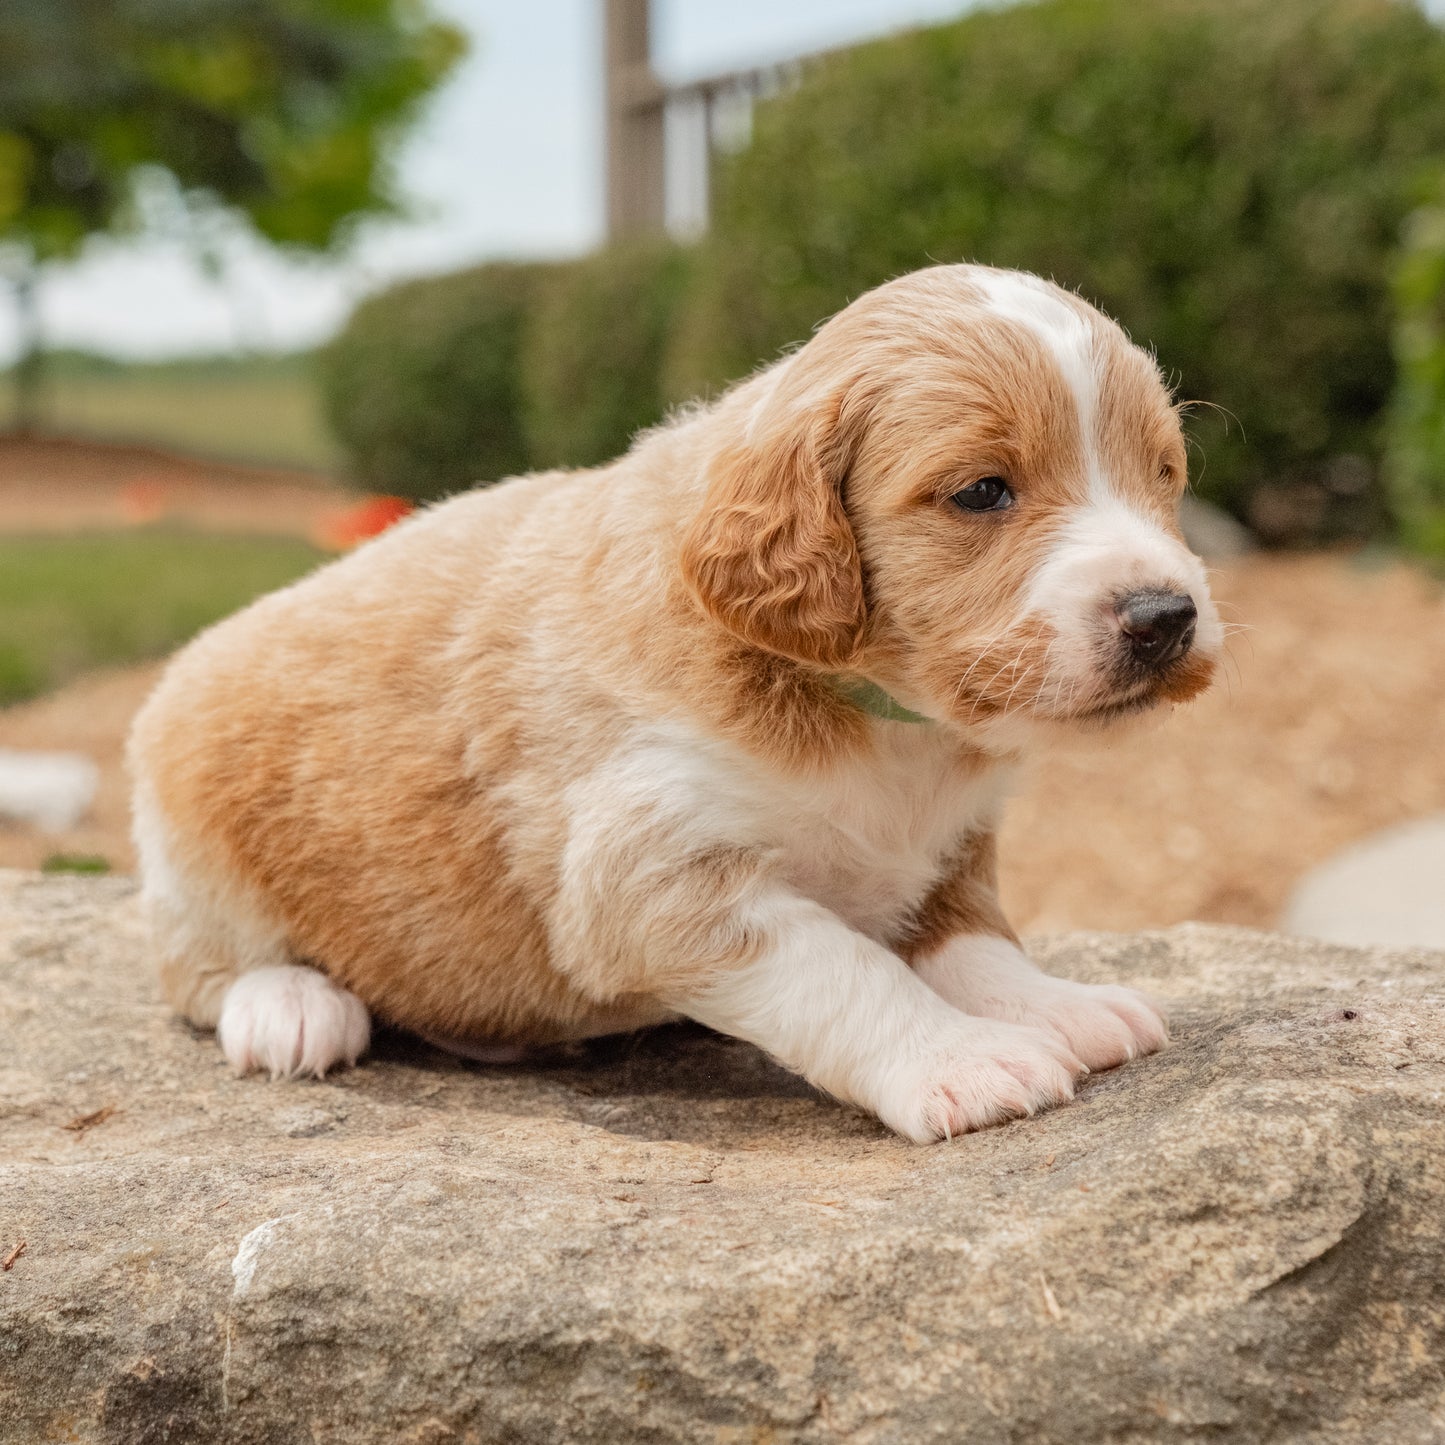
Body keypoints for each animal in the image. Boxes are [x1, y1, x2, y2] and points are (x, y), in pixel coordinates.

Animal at [127, 260, 1219, 1138]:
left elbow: (970, 935)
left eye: (1163, 473)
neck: (876, 713)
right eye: (982, 491)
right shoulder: (654, 873)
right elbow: (846, 970)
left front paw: (1051, 1003)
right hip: (192, 842)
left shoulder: (952, 844)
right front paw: (961, 1061)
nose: (1165, 615)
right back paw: (291, 1005)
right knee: (196, 965)